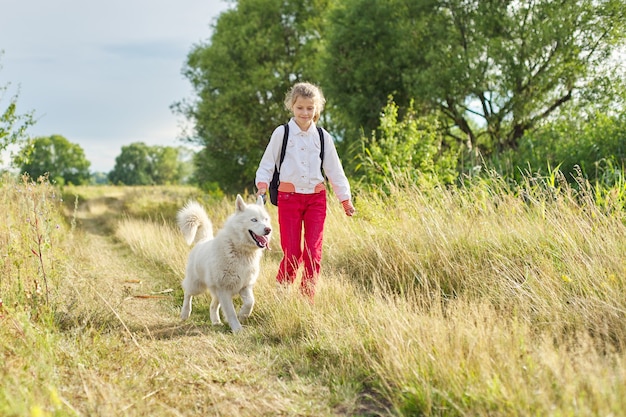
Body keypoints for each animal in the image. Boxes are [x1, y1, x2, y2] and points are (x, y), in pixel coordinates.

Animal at [178, 194, 270, 332]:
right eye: (254, 220)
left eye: (266, 219)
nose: (268, 229)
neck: (240, 251)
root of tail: (203, 240)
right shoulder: (225, 290)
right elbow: (231, 312)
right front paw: (237, 330)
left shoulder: (245, 286)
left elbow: (250, 302)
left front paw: (242, 315)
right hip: (197, 286)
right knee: (187, 292)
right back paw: (185, 313)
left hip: (215, 291)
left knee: (212, 305)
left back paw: (216, 321)